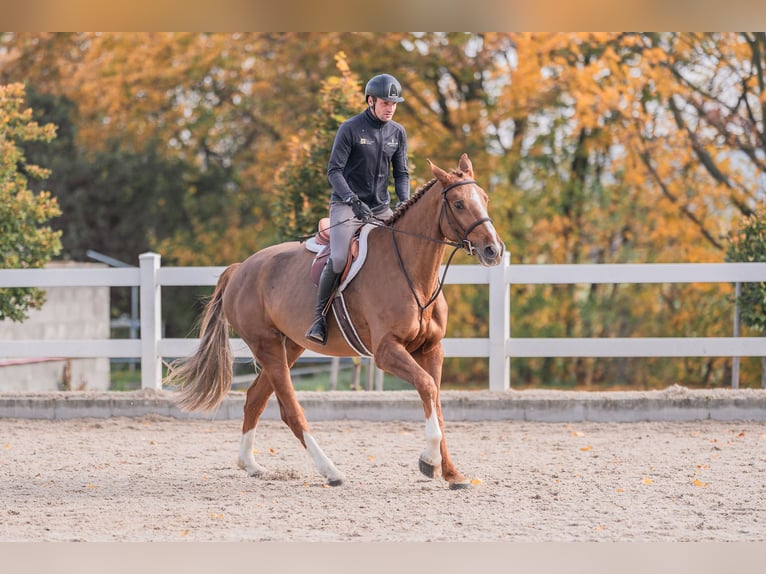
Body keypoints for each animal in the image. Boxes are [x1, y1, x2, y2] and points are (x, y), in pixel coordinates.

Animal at [164, 153, 506, 489]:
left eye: (485, 199)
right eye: (459, 204)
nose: (494, 250)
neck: (412, 272)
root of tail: (240, 268)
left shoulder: (431, 349)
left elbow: (435, 399)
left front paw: (451, 473)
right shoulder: (386, 352)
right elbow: (426, 387)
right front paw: (429, 461)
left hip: (290, 347)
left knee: (255, 398)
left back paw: (251, 465)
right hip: (267, 346)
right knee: (290, 410)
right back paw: (330, 471)